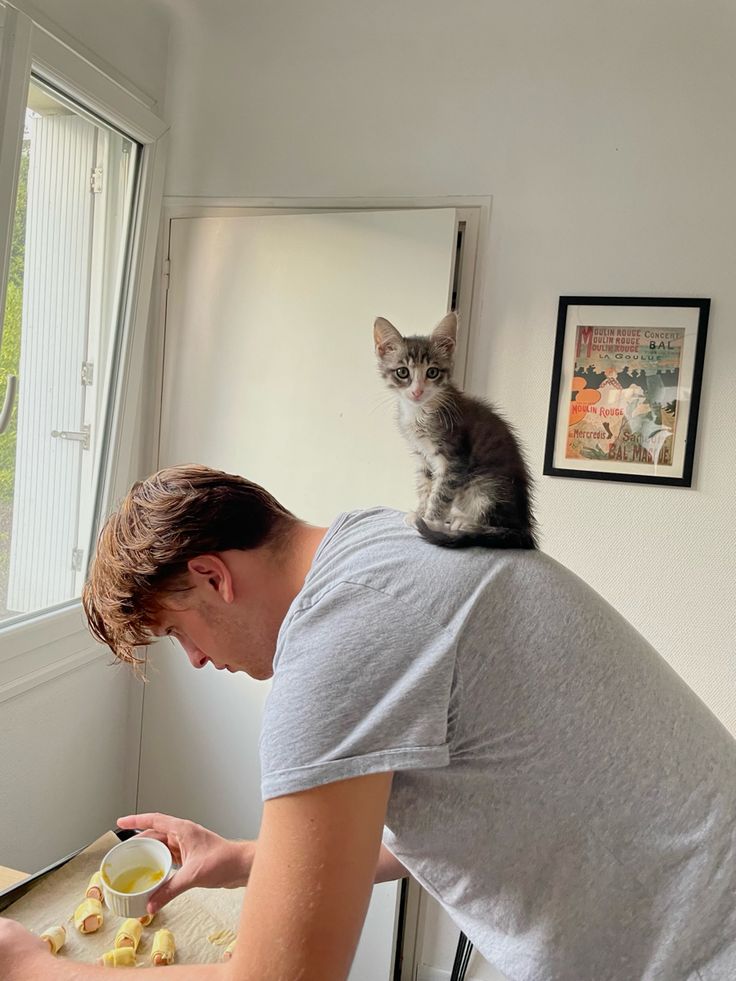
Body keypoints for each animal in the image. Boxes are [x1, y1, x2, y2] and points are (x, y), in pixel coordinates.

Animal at [374, 312, 536, 548]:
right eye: (402, 372)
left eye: (432, 372)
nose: (417, 391)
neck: (420, 412)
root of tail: (526, 528)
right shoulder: (423, 457)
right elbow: (426, 486)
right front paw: (420, 512)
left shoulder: (454, 459)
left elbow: (441, 492)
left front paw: (430, 521)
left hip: (486, 482)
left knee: (497, 523)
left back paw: (465, 523)